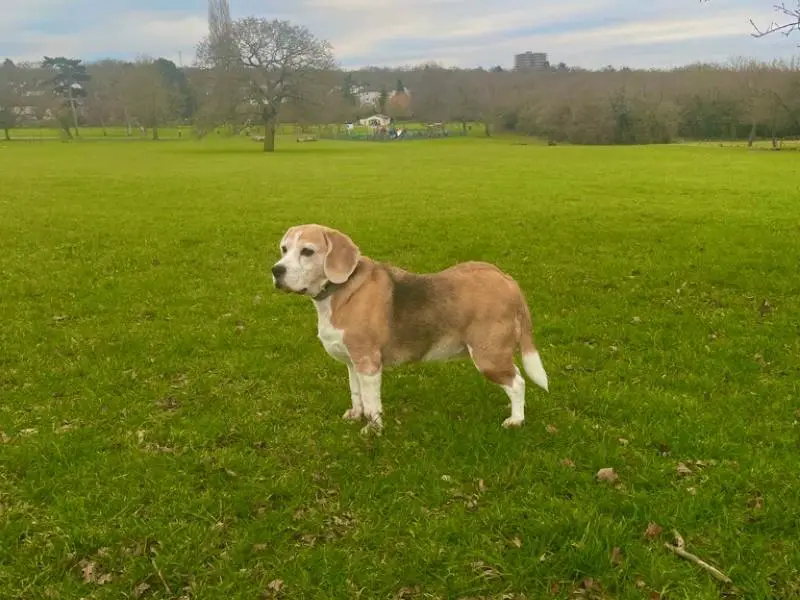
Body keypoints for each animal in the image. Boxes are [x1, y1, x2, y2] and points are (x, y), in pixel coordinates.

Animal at [272, 223, 548, 434]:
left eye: (307, 251)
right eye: (284, 249)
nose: (276, 270)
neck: (339, 289)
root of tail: (507, 280)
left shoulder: (368, 363)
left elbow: (371, 403)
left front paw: (373, 430)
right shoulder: (352, 363)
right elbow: (356, 393)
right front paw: (356, 415)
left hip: (489, 356)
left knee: (517, 383)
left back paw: (516, 420)